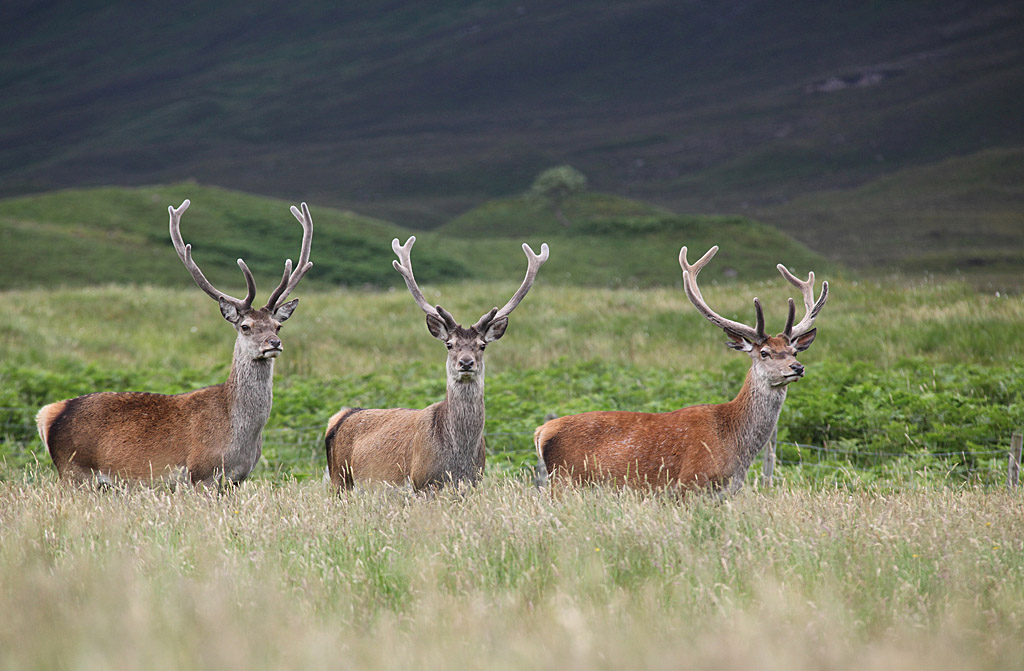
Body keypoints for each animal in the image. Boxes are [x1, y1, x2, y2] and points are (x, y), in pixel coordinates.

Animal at [35, 198, 313, 488]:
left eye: (278, 326)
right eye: (245, 326)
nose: (274, 343)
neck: (238, 435)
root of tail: (48, 414)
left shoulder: (236, 480)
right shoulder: (201, 474)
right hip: (75, 472)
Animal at [324, 236, 549, 491]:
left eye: (482, 345)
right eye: (449, 344)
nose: (466, 363)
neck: (457, 458)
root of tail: (340, 417)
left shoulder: (473, 482)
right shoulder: (422, 482)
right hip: (340, 479)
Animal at [534, 245, 828, 493]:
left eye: (793, 351)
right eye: (764, 353)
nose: (797, 367)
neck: (734, 445)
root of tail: (541, 432)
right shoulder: (689, 483)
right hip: (566, 481)